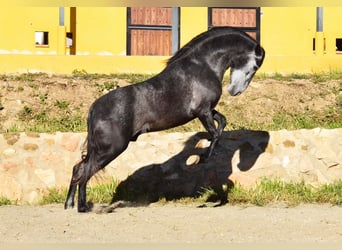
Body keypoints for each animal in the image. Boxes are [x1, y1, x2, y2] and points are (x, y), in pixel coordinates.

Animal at [65, 26, 266, 212]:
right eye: (255, 66)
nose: (235, 91)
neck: (203, 65)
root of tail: (94, 108)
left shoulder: (207, 110)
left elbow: (222, 122)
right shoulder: (202, 111)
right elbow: (215, 133)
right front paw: (201, 159)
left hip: (102, 149)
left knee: (78, 169)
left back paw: (69, 204)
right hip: (111, 148)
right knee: (84, 171)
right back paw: (82, 207)